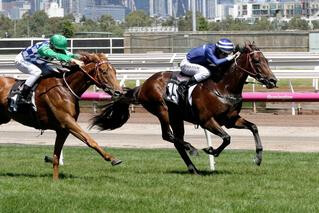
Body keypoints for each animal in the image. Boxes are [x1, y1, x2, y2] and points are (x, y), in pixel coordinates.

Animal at [92, 42, 278, 175]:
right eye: (256, 61)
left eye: (267, 60)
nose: (273, 80)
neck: (222, 86)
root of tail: (143, 85)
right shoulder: (207, 120)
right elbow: (227, 138)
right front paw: (211, 150)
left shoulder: (231, 120)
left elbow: (253, 127)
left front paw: (258, 158)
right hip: (162, 110)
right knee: (168, 135)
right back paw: (192, 149)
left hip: (176, 117)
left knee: (176, 141)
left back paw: (193, 168)